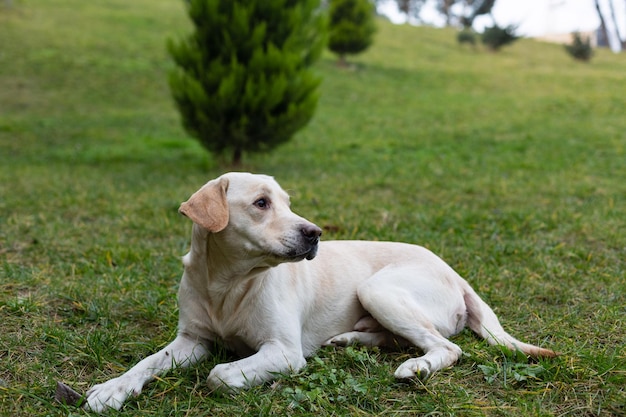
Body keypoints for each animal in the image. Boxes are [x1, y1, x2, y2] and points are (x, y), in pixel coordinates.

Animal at [84, 171, 556, 412]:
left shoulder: (284, 351)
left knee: (445, 347)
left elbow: (220, 374)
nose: (315, 234)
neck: (228, 284)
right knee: (399, 338)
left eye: (288, 202)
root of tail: (456, 274)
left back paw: (415, 367)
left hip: (377, 288)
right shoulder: (191, 340)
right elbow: (145, 363)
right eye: (261, 203)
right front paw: (113, 389)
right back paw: (350, 340)